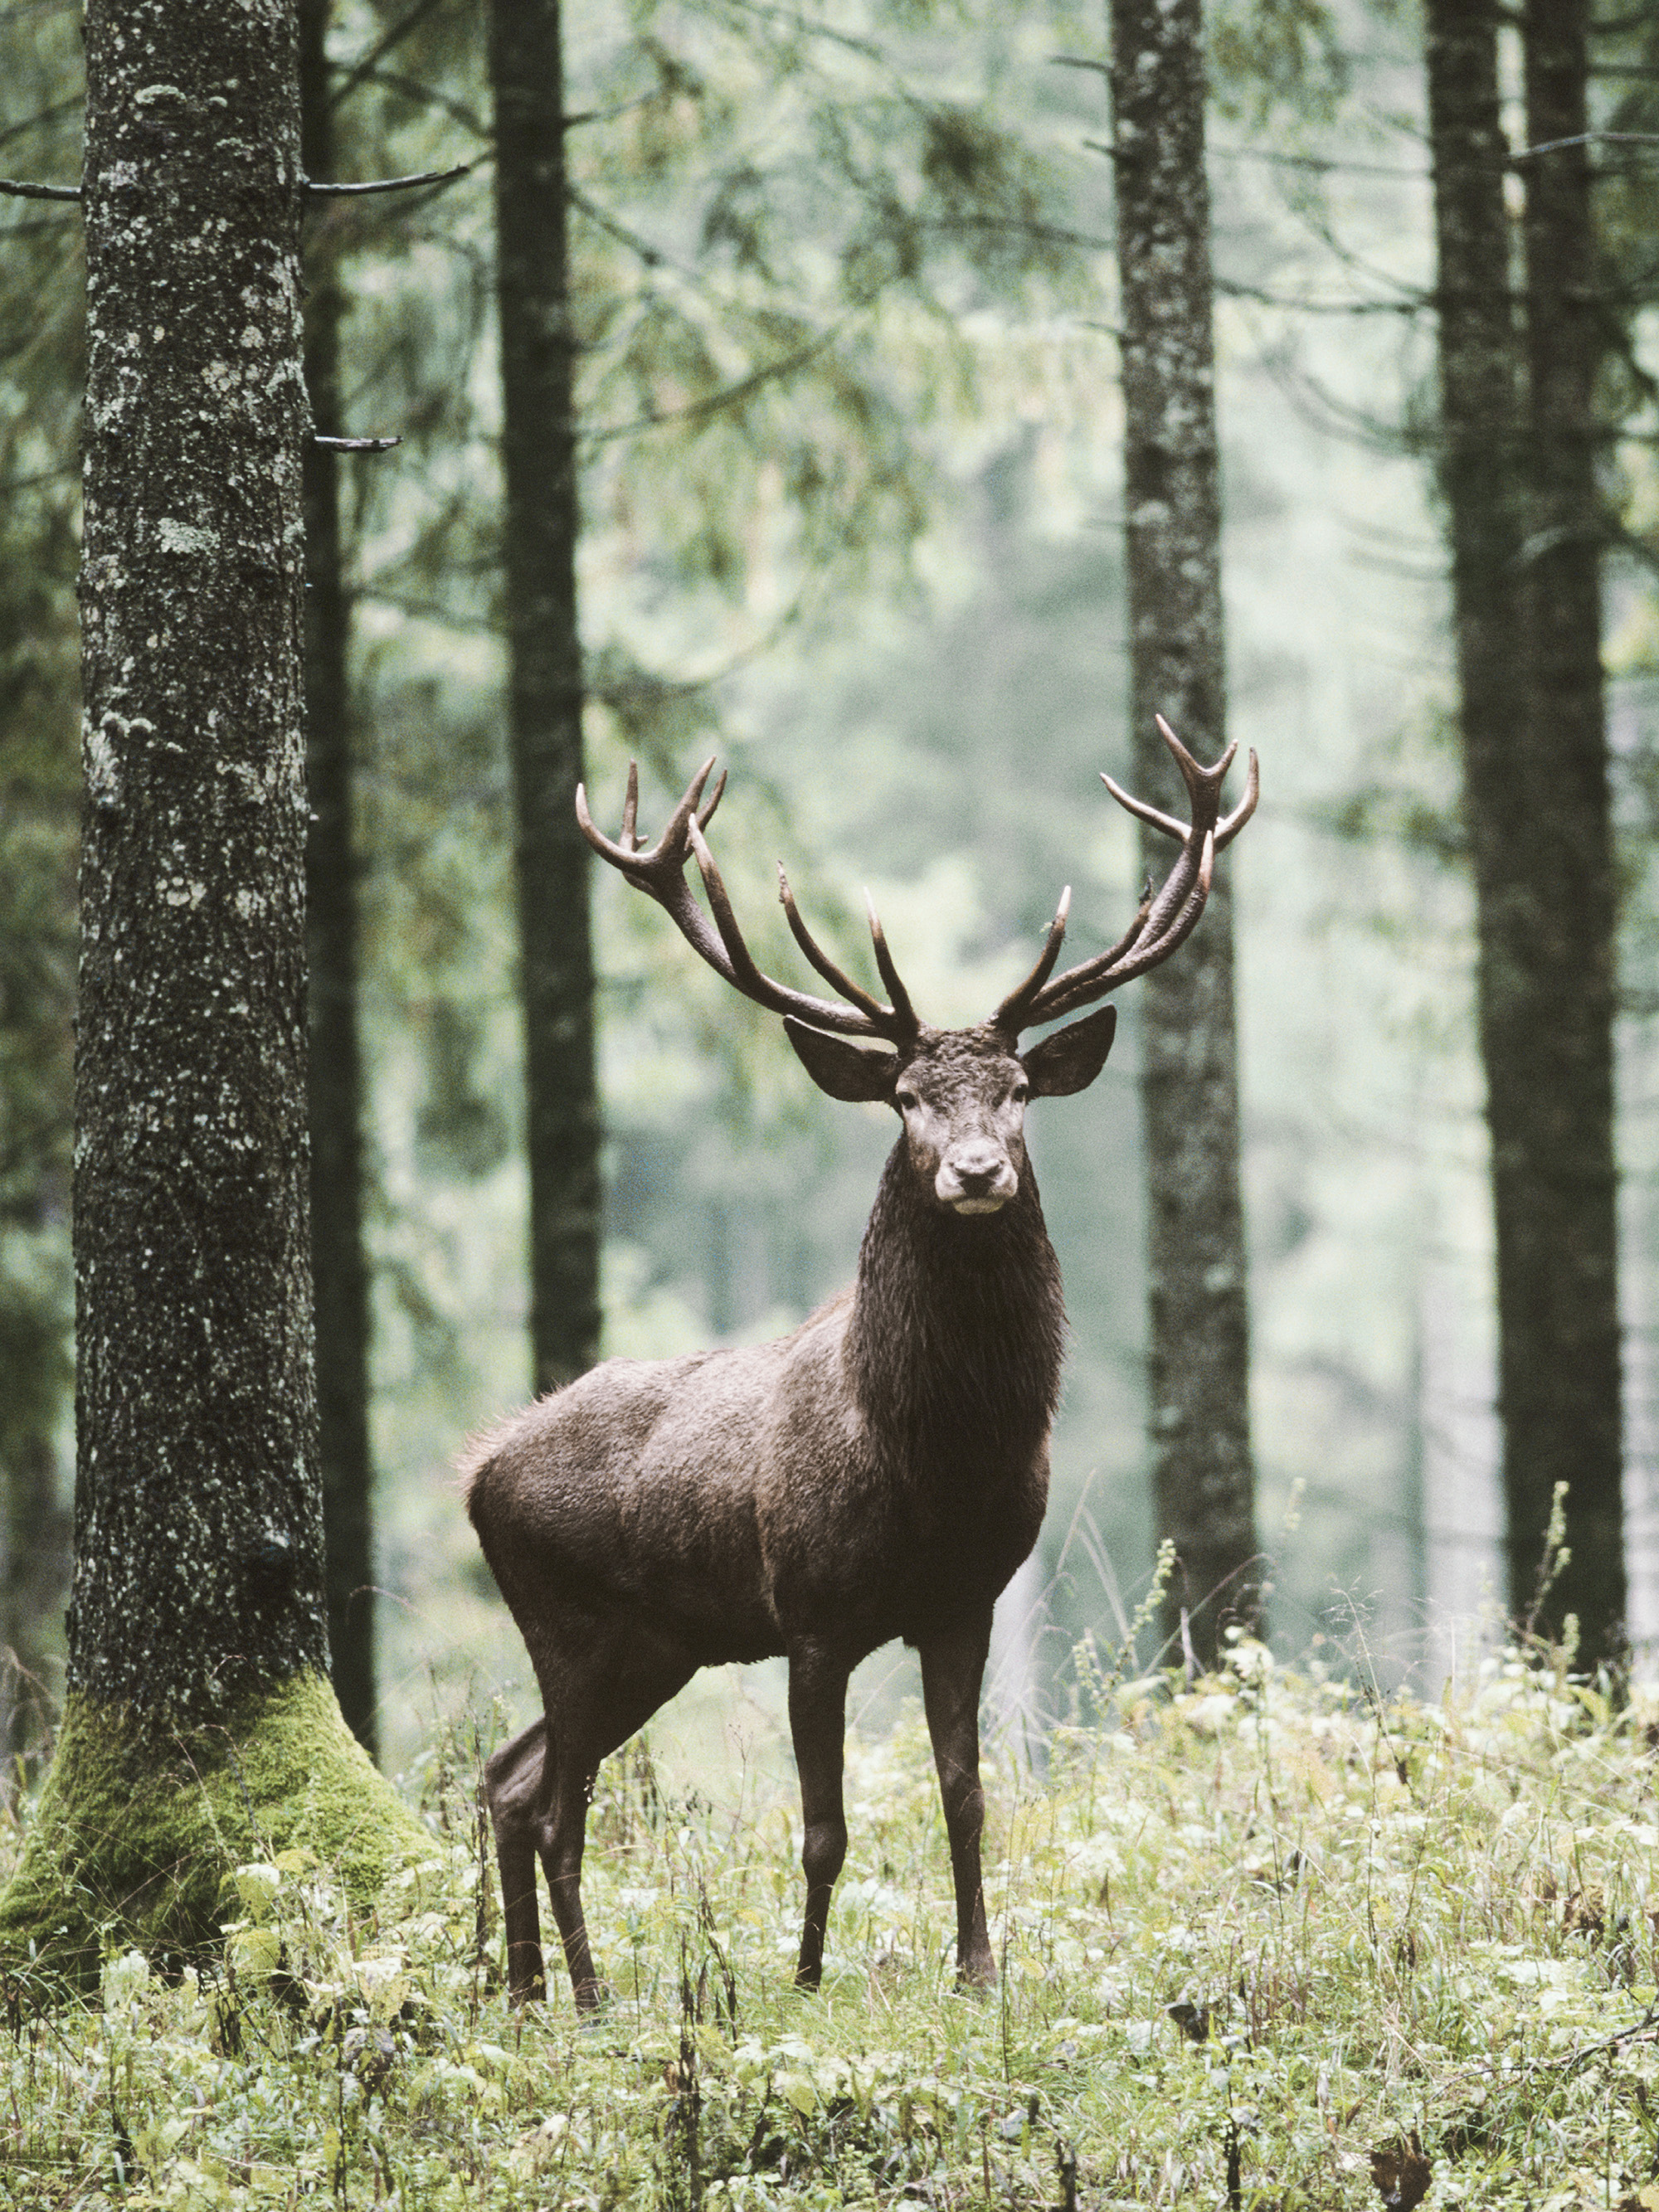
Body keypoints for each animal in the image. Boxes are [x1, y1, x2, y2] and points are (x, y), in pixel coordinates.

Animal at [463, 717, 1256, 2010]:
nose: (978, 1169)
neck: (932, 1459)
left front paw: (979, 1970)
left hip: (654, 1643)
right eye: (904, 1097)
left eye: (1020, 1089)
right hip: (568, 1620)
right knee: (554, 1803)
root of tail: (476, 1471)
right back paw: (584, 1998)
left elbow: (966, 1794)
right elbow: (822, 1826)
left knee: (506, 1775)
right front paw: (802, 1979)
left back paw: (529, 1991)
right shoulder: (814, 1613)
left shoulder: (966, 1602)